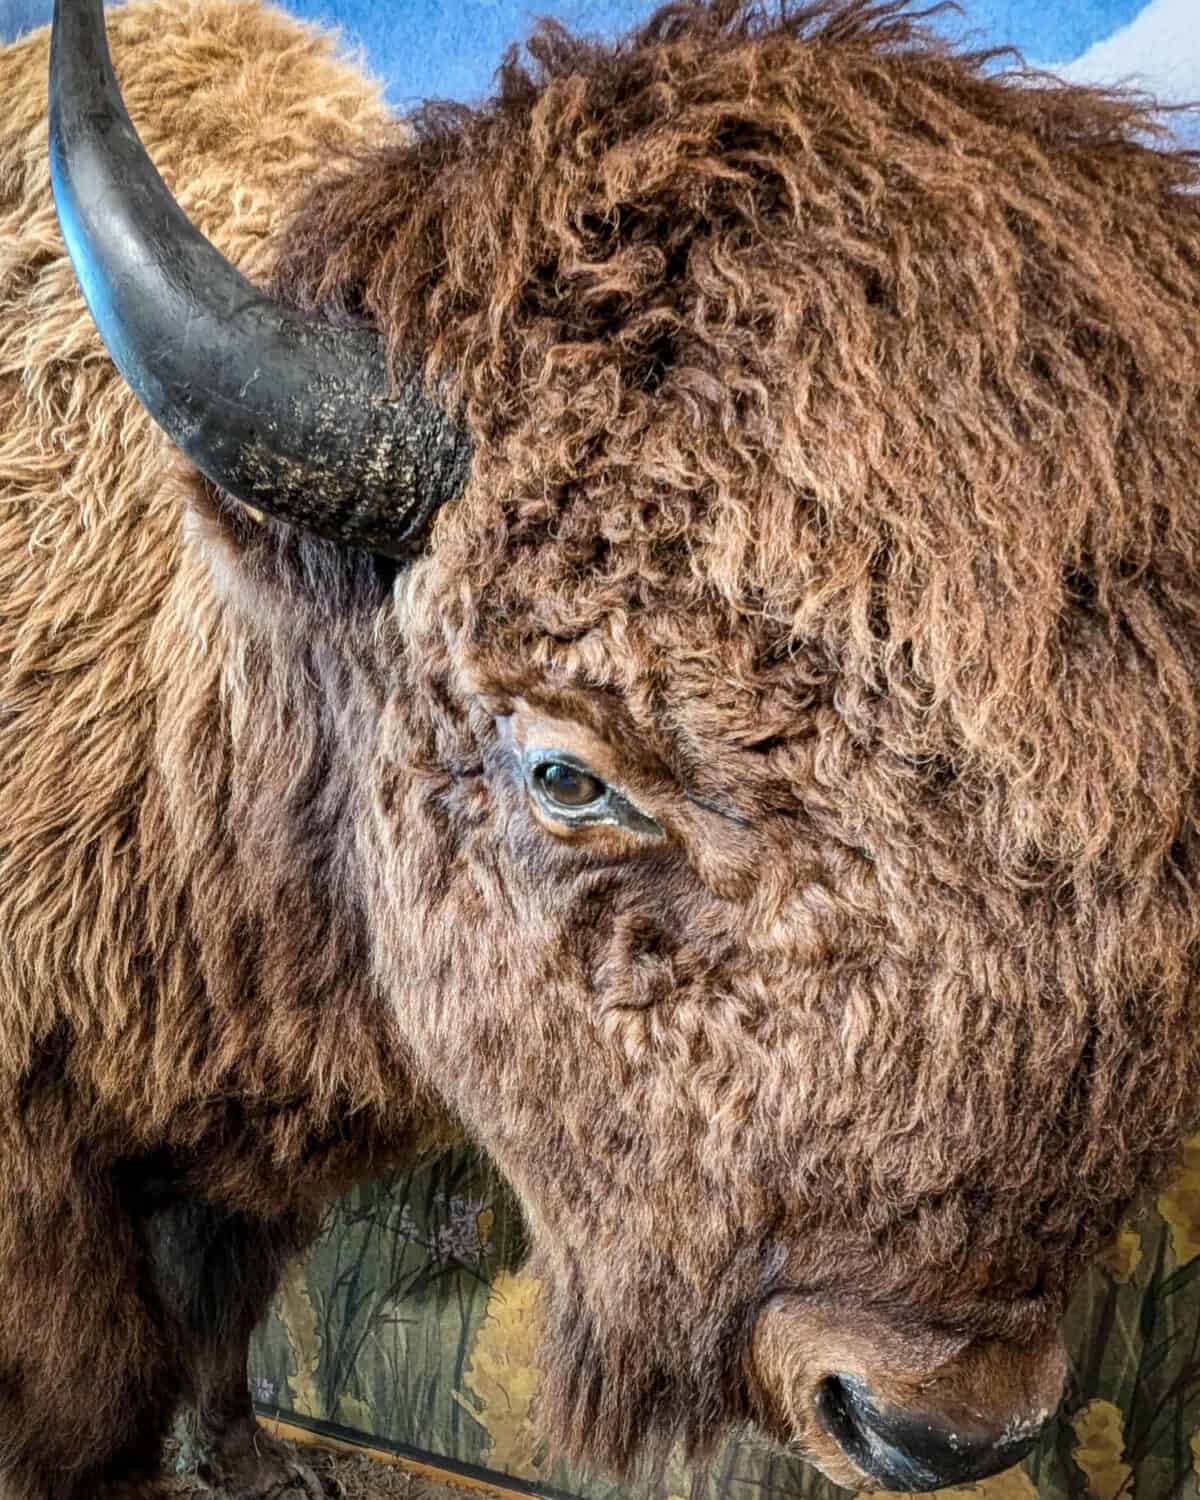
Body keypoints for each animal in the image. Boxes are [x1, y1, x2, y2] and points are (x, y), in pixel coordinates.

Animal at [2, 0, 1200, 1494]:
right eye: (568, 773)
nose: (934, 1423)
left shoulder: (267, 1132)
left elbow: (229, 1285)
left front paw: (256, 1459)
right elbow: (89, 1386)